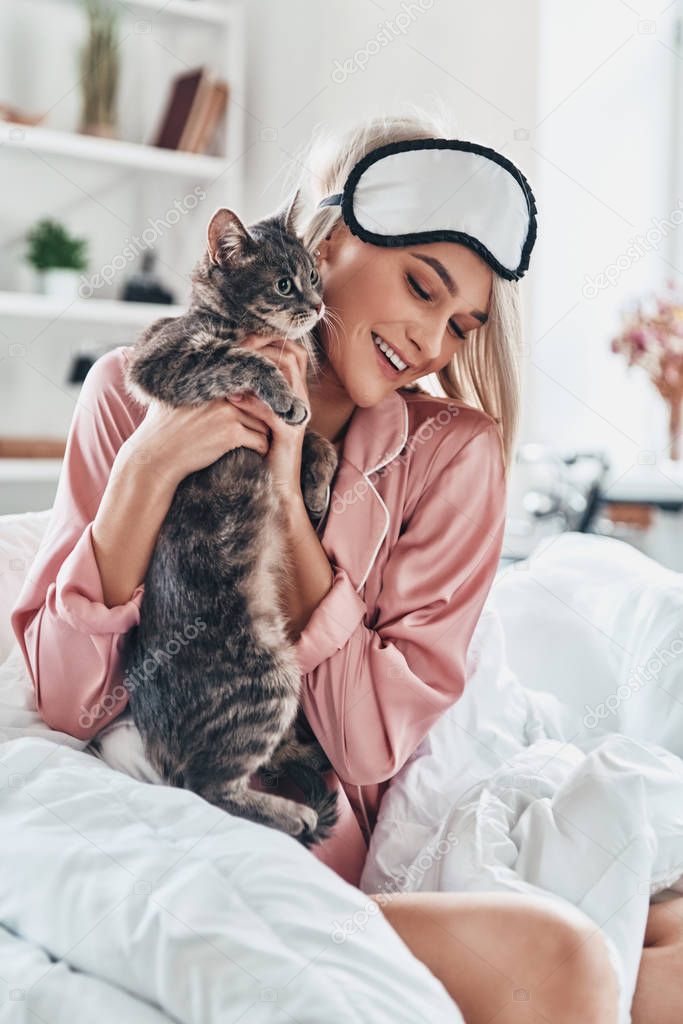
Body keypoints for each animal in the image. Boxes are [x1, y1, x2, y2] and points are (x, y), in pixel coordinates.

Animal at [121, 193, 339, 847]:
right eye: (285, 283)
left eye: (314, 275)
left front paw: (316, 489)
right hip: (270, 677)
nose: (318, 304)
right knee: (208, 788)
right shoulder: (160, 355)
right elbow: (238, 359)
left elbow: (319, 441)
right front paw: (282, 393)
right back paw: (292, 813)